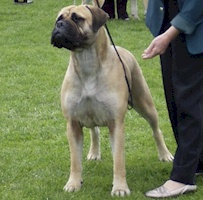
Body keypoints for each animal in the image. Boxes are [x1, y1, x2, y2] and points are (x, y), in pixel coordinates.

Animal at [50, 0, 173, 197]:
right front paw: (73, 184)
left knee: (156, 130)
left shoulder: (116, 123)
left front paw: (120, 187)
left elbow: (119, 161)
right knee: (94, 132)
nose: (59, 25)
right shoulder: (73, 124)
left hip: (145, 103)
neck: (86, 62)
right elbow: (75, 161)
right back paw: (94, 152)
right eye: (58, 19)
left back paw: (164, 154)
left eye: (77, 18)